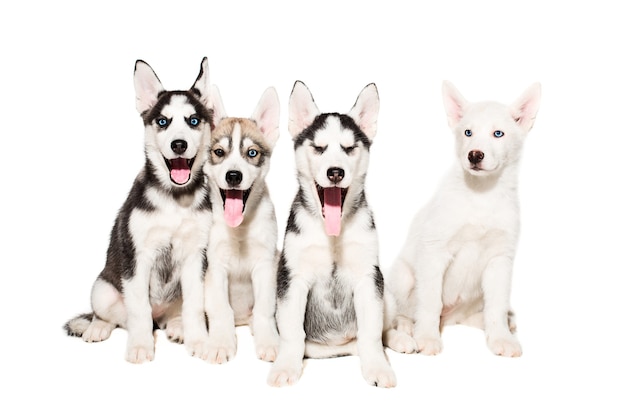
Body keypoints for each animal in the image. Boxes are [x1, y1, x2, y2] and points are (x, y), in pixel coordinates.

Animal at [63, 57, 214, 362]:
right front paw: (141, 346)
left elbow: (194, 306)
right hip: (103, 288)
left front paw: (199, 341)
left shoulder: (196, 256)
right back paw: (97, 327)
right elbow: (139, 309)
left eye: (193, 121)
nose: (178, 144)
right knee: (113, 316)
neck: (174, 200)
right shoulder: (137, 256)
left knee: (174, 314)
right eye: (162, 121)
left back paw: (177, 327)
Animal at [201, 86, 280, 362]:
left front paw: (269, 342)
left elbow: (265, 310)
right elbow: (221, 310)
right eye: (219, 152)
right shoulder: (215, 268)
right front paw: (221, 343)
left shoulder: (265, 265)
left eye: (252, 153)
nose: (233, 176)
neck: (240, 229)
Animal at [266, 80, 394, 386]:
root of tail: (339, 348)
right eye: (319, 148)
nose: (335, 172)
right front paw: (285, 366)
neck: (332, 235)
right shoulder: (291, 277)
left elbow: (372, 333)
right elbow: (291, 332)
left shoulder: (370, 277)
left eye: (349, 148)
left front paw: (378, 366)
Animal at [382, 82, 540, 358]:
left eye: (498, 134)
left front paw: (501, 338)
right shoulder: (434, 251)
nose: (474, 155)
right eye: (468, 132)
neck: (481, 195)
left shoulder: (500, 260)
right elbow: (430, 301)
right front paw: (427, 337)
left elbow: (496, 306)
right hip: (403, 275)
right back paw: (407, 330)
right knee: (404, 312)